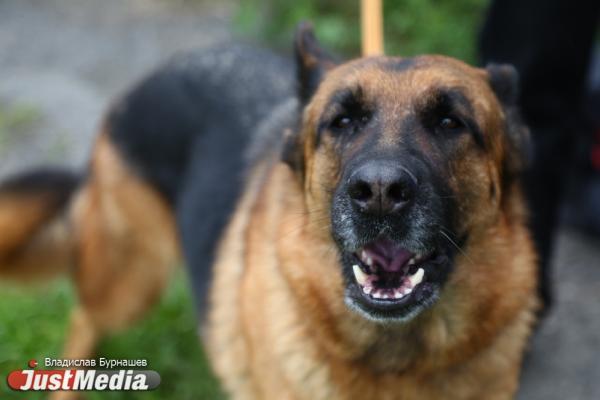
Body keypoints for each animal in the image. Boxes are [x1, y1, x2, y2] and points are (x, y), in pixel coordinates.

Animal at [1, 23, 540, 398]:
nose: (380, 191)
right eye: (342, 121)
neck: (398, 360)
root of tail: (147, 81)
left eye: (450, 122)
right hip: (131, 279)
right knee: (83, 317)